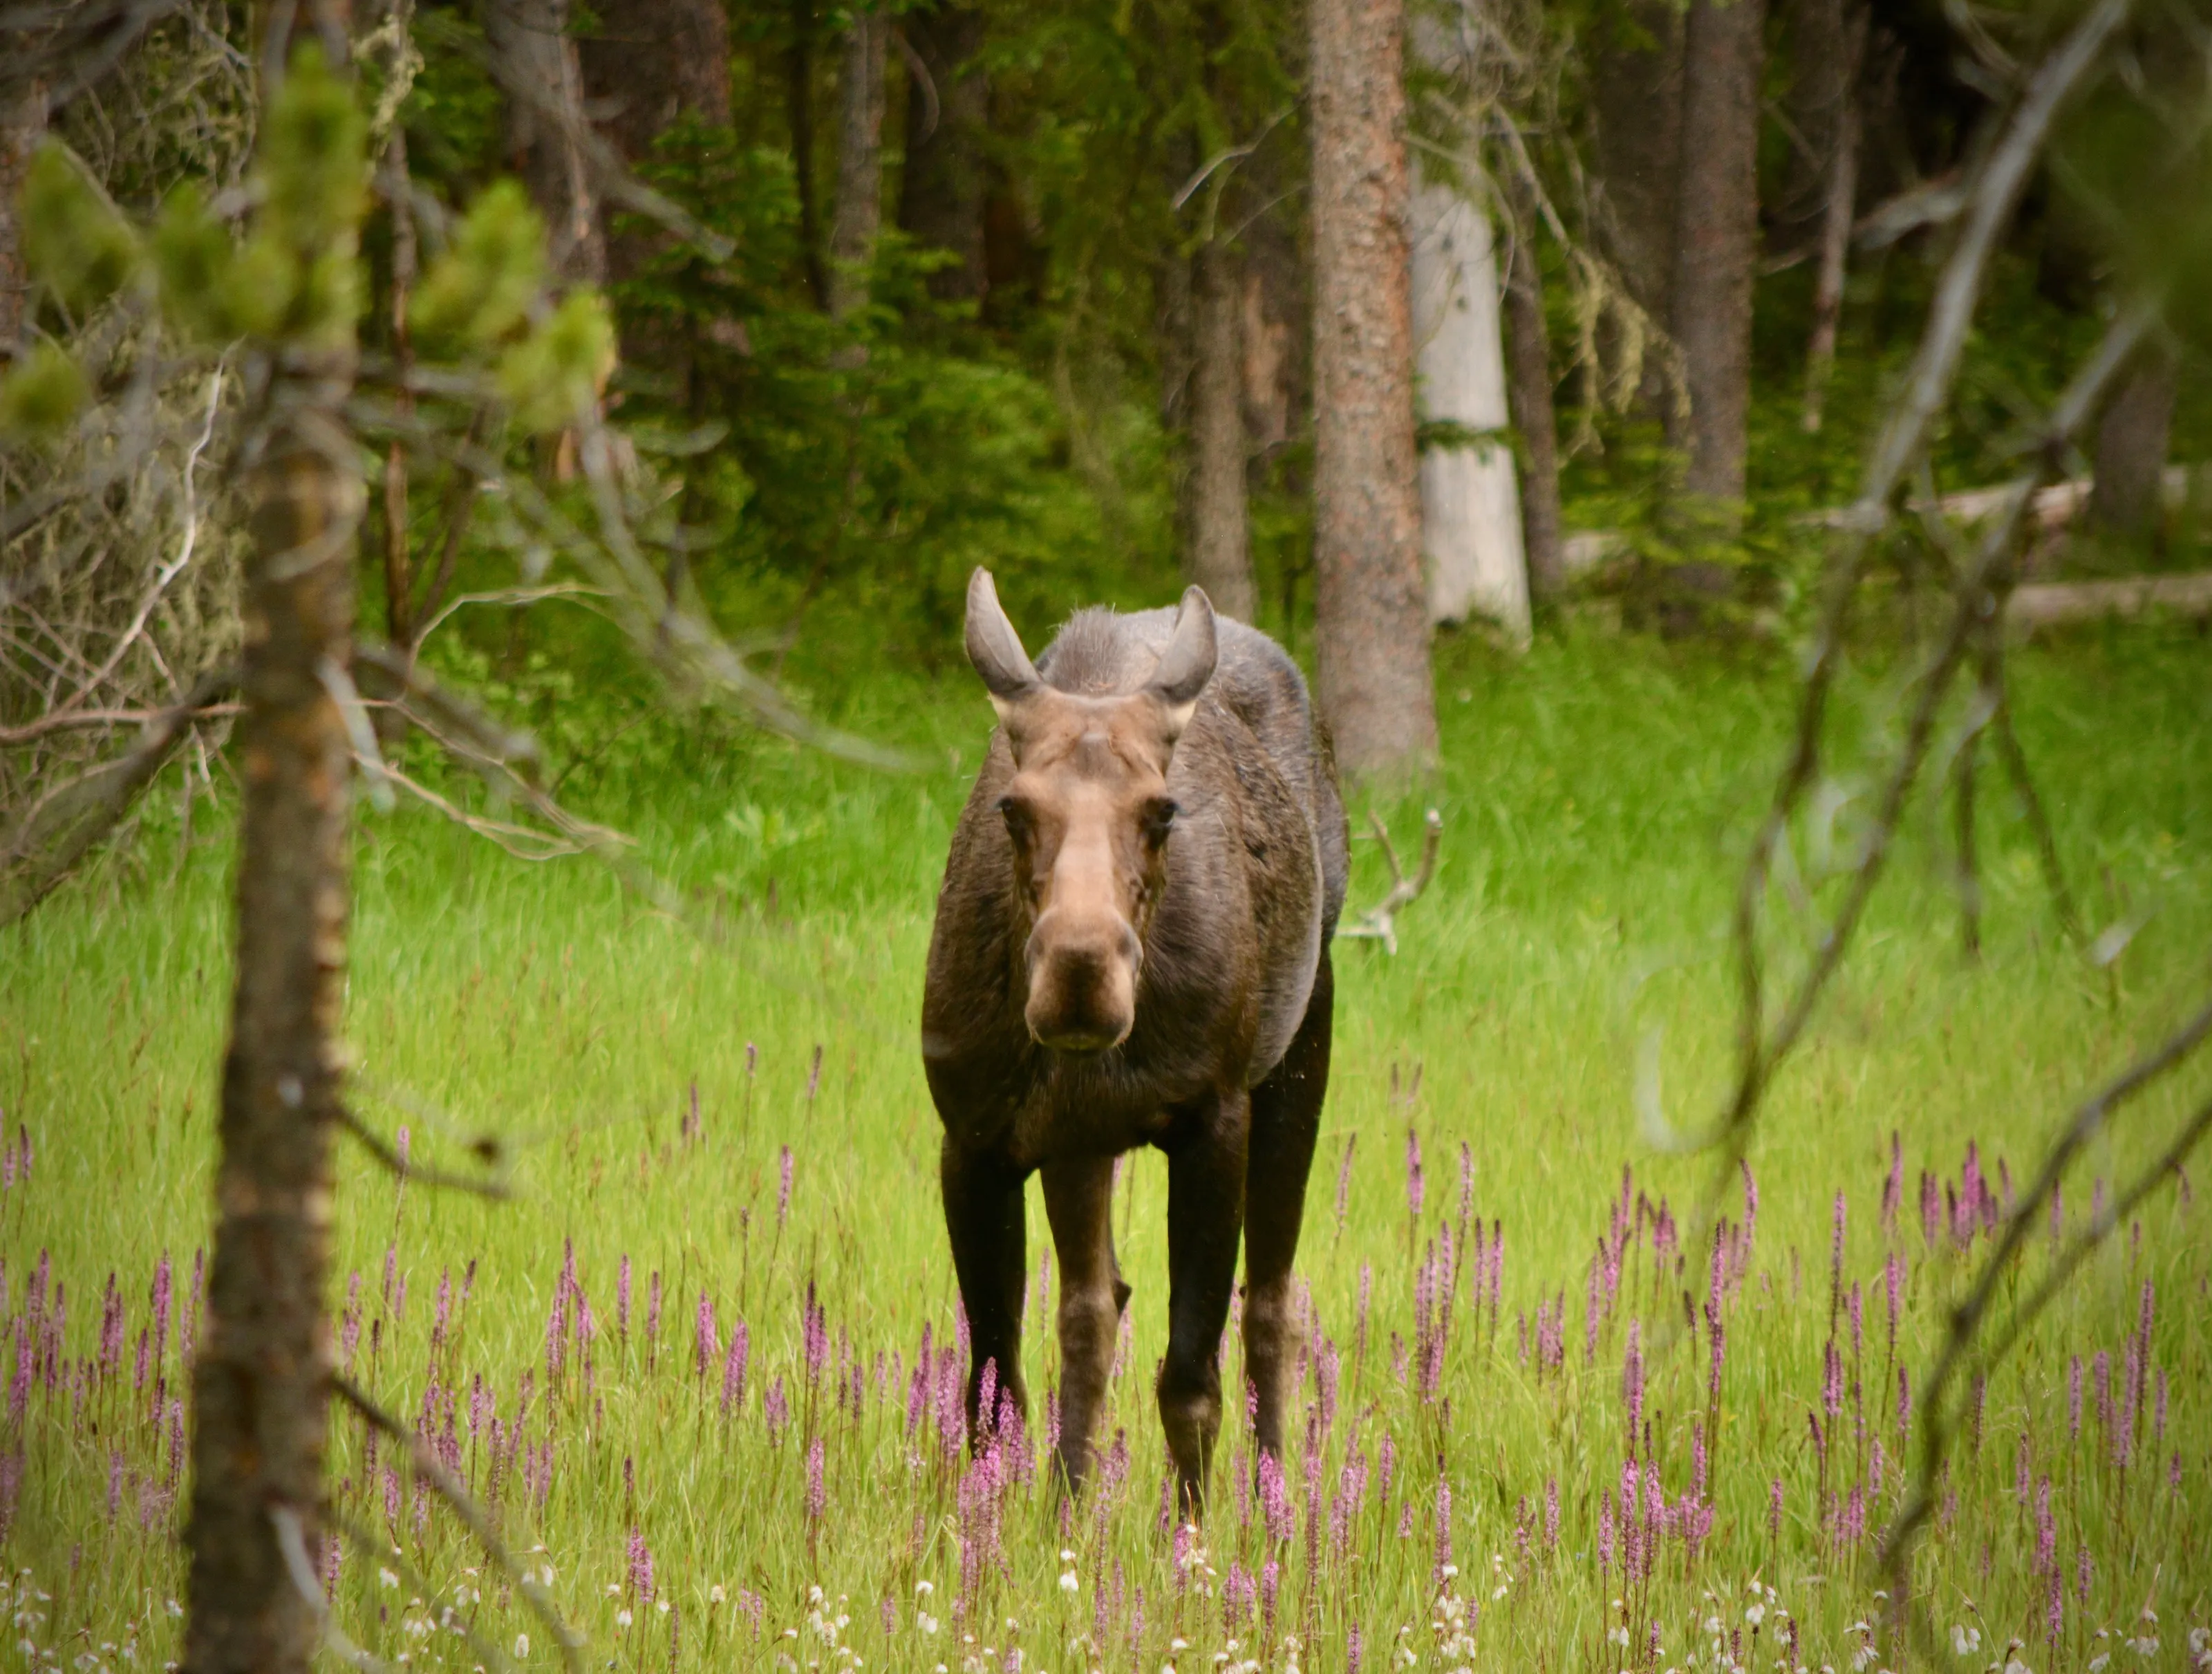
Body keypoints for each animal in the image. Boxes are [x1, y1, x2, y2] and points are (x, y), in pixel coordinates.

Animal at [921, 568, 1348, 1519]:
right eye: (1012, 806)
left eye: (1161, 810)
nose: (1081, 971)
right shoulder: (973, 1141)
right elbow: (991, 1385)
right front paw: (1003, 1528)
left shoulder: (1210, 1119)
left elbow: (1190, 1380)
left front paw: (1188, 1538)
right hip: (1080, 1139)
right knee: (1093, 1305)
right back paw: (1071, 1501)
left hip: (1303, 1043)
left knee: (1270, 1301)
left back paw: (1275, 1502)